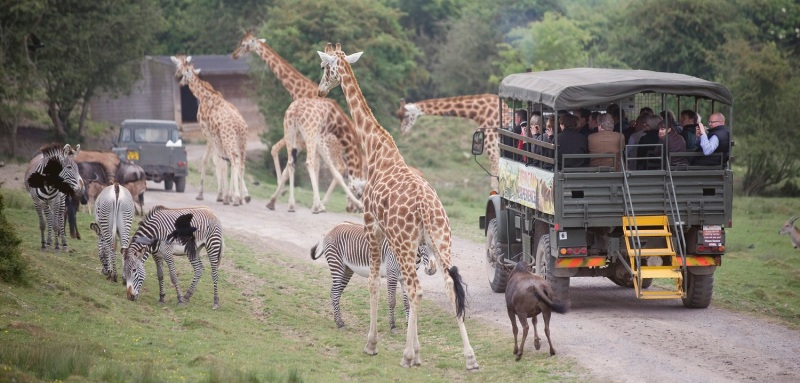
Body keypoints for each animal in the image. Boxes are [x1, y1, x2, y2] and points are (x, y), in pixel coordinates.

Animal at [172, 54, 250, 207]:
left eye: (179, 67)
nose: (178, 80)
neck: (204, 96)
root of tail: (240, 126)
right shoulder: (215, 137)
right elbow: (220, 162)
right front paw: (225, 195)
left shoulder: (207, 133)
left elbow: (210, 161)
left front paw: (205, 194)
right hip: (241, 144)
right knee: (241, 164)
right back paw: (242, 198)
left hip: (229, 141)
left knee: (234, 160)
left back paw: (236, 198)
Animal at [231, 30, 366, 213]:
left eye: (244, 44)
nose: (234, 54)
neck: (300, 91)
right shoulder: (302, 138)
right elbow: (290, 159)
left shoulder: (307, 138)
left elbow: (286, 156)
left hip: (330, 147)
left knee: (339, 168)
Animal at [310, 222, 438, 330]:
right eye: (424, 243)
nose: (432, 270)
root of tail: (332, 229)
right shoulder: (392, 274)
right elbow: (392, 301)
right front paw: (392, 325)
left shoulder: (405, 278)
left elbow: (407, 303)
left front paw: (408, 324)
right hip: (337, 264)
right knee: (335, 293)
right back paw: (340, 323)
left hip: (347, 270)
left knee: (334, 293)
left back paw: (337, 320)